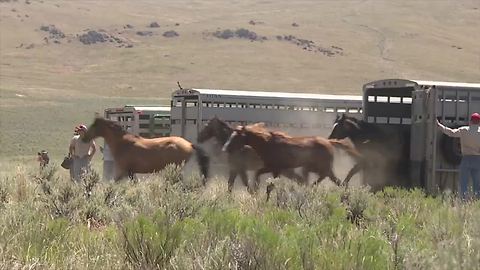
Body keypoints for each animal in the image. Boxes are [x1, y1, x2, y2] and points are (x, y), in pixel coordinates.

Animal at [82, 117, 210, 182]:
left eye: (94, 125)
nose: (84, 138)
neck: (122, 143)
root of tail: (189, 144)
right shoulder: (130, 172)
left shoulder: (123, 170)